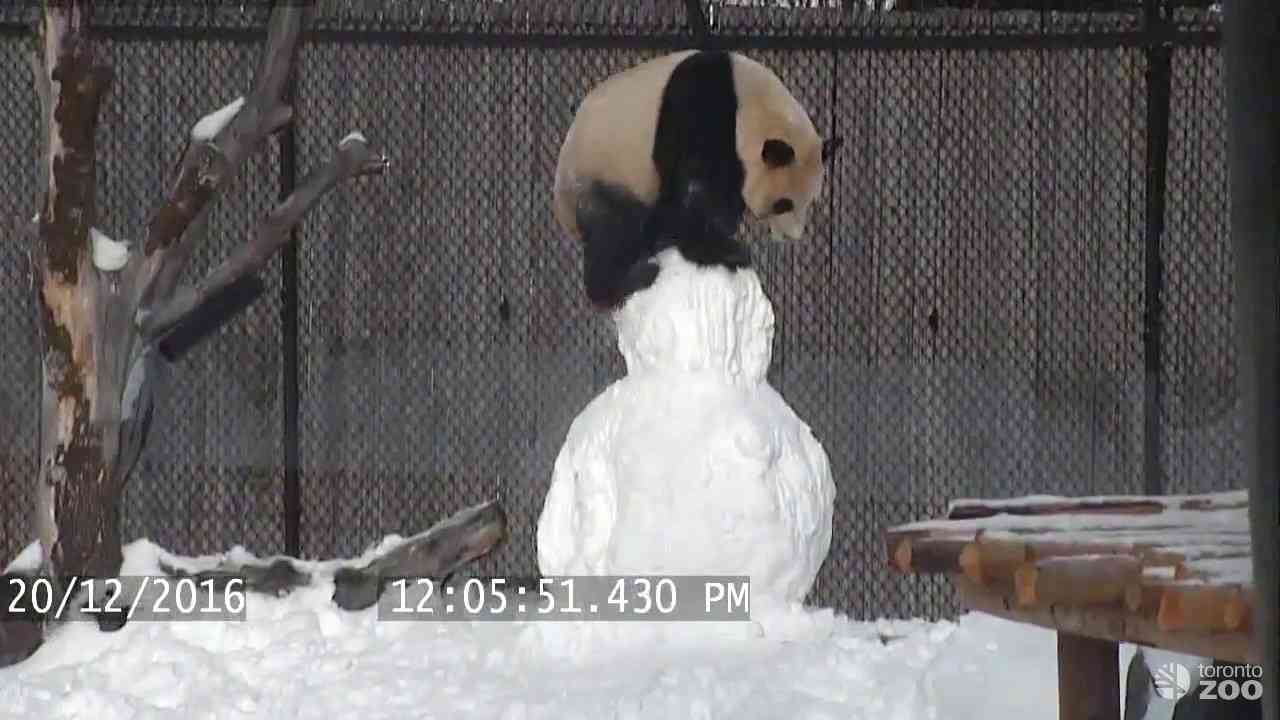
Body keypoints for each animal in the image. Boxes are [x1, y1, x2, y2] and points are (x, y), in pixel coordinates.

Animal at [553, 49, 843, 310]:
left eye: (809, 203)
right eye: (783, 204)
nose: (792, 236)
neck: (747, 104)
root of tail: (564, 211)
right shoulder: (697, 108)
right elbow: (692, 191)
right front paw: (724, 251)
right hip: (603, 174)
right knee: (614, 230)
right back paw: (626, 282)